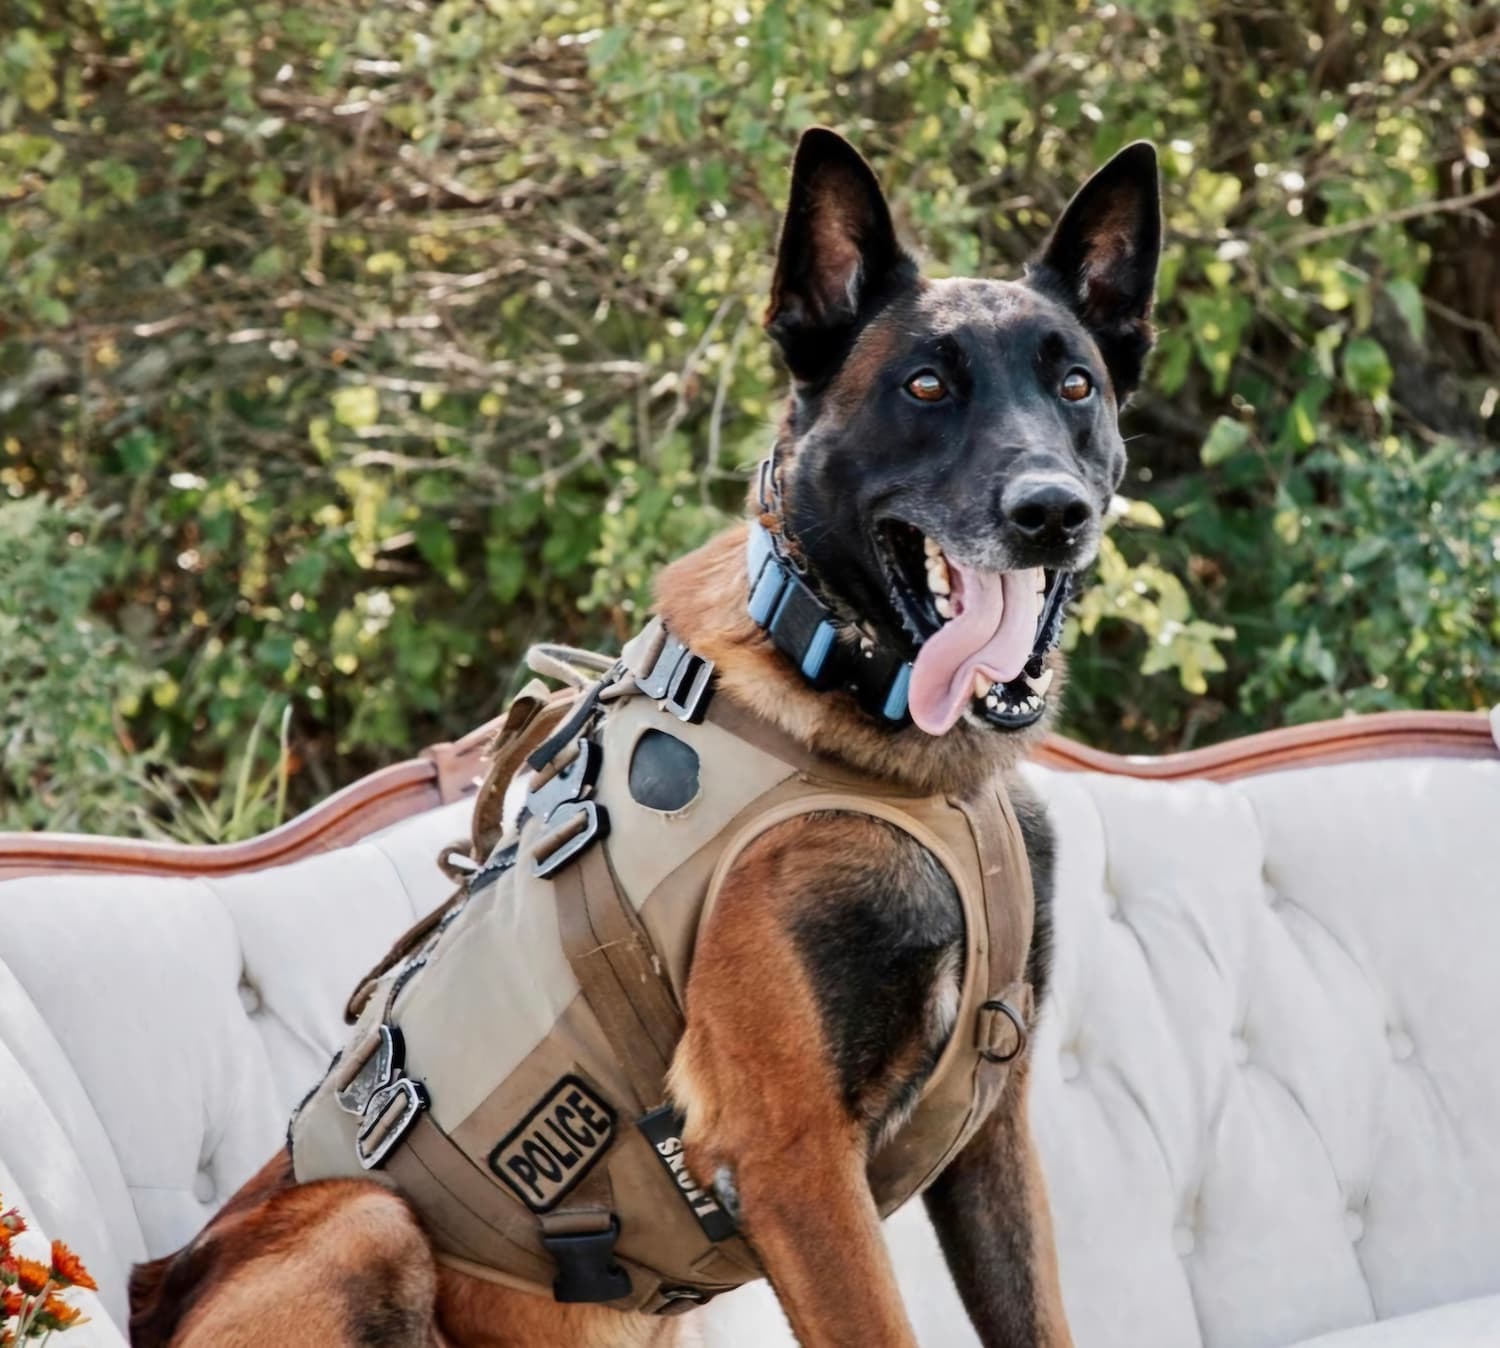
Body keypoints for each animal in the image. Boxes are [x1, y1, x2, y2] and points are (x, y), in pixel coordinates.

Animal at [129, 128, 1158, 1348]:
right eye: (925, 386)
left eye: (1076, 385)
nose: (1051, 512)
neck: (900, 760)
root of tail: (149, 1279)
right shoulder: (793, 1160)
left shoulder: (992, 1124)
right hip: (368, 1220)